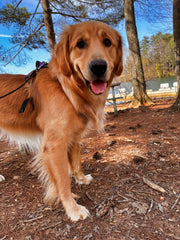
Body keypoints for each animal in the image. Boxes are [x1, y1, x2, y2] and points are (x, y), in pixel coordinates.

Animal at [0, 21, 122, 221]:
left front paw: (81, 179)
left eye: (107, 42)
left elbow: (76, 161)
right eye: (80, 44)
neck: (66, 88)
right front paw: (73, 209)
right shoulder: (54, 145)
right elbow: (63, 181)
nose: (99, 67)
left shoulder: (73, 136)